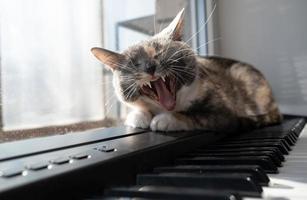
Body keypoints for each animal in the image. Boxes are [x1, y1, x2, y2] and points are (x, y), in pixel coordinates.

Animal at [90, 8, 282, 133]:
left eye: (159, 52)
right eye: (134, 63)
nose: (150, 67)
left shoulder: (224, 112)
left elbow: (197, 117)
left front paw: (166, 120)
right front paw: (138, 116)